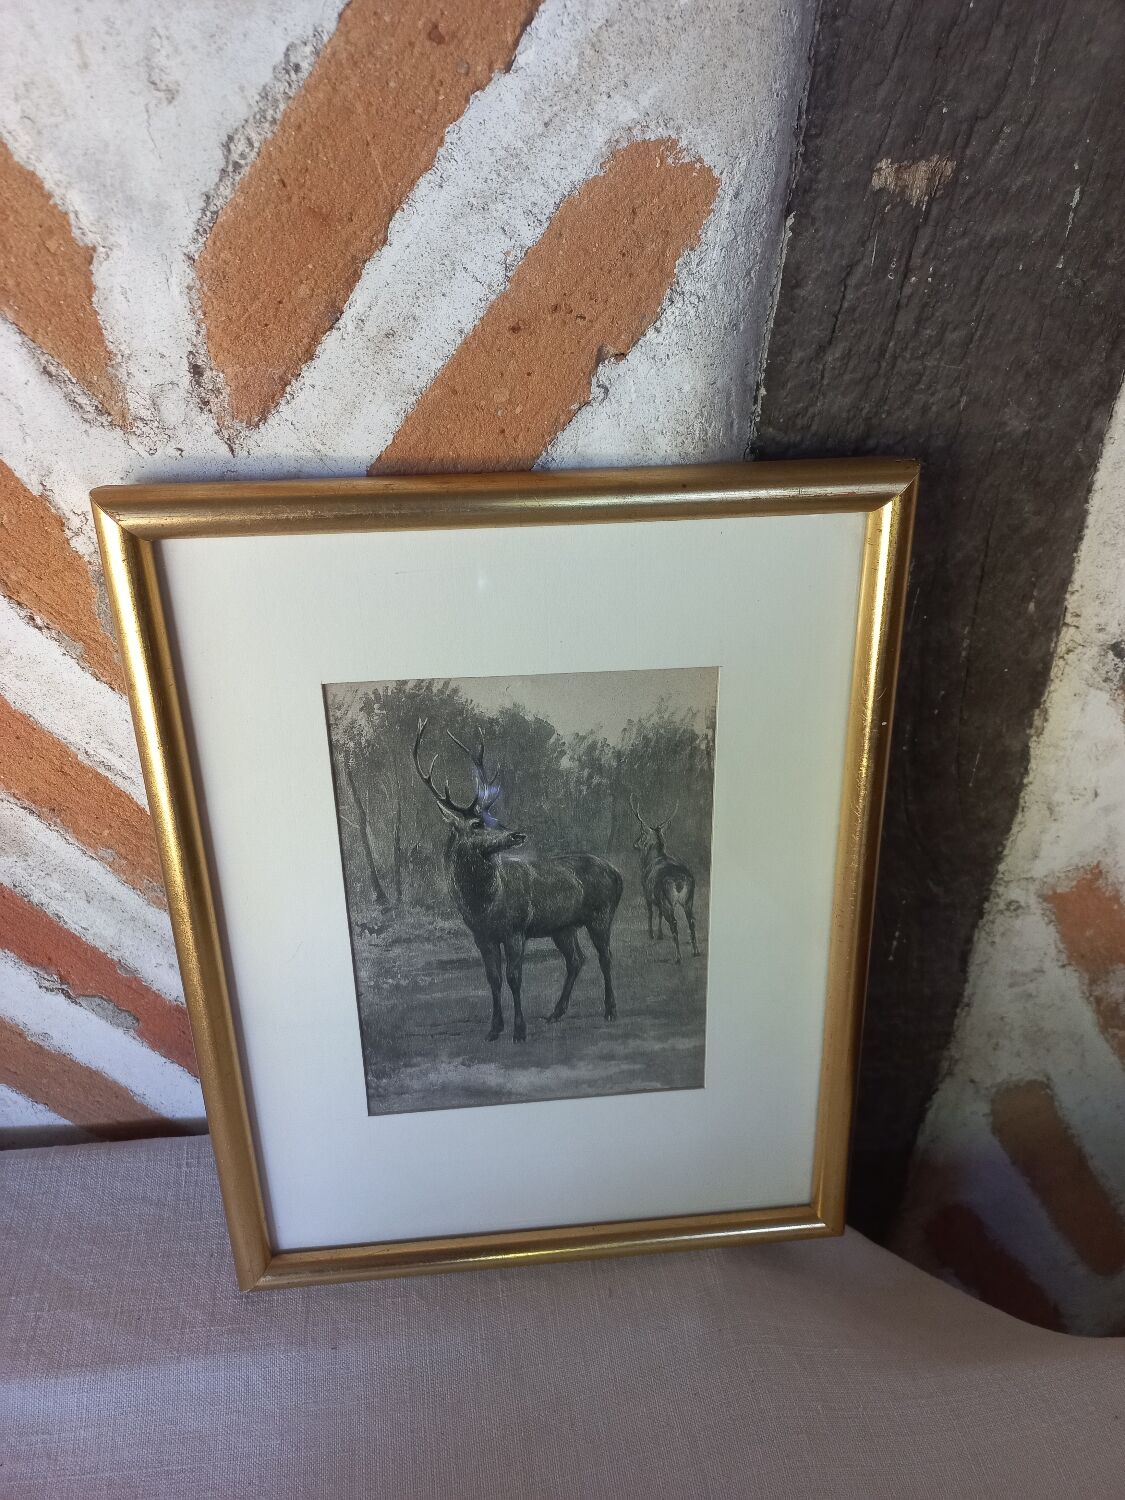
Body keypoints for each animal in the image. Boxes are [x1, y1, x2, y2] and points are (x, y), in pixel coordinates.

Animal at [412, 720, 623, 1042]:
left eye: (495, 819)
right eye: (477, 823)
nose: (517, 834)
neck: (483, 904)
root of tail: (617, 874)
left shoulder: (515, 929)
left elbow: (514, 978)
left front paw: (519, 1031)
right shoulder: (481, 936)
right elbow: (493, 978)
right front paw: (494, 1029)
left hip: (601, 915)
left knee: (605, 956)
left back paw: (610, 1010)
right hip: (562, 927)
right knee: (576, 959)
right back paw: (555, 1012)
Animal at [629, 794, 701, 963]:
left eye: (642, 834)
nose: (634, 844)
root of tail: (680, 880)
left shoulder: (646, 892)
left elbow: (650, 913)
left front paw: (652, 934)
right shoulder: (658, 898)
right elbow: (659, 914)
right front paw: (660, 934)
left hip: (668, 900)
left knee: (674, 922)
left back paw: (678, 957)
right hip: (689, 899)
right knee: (692, 921)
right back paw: (696, 951)